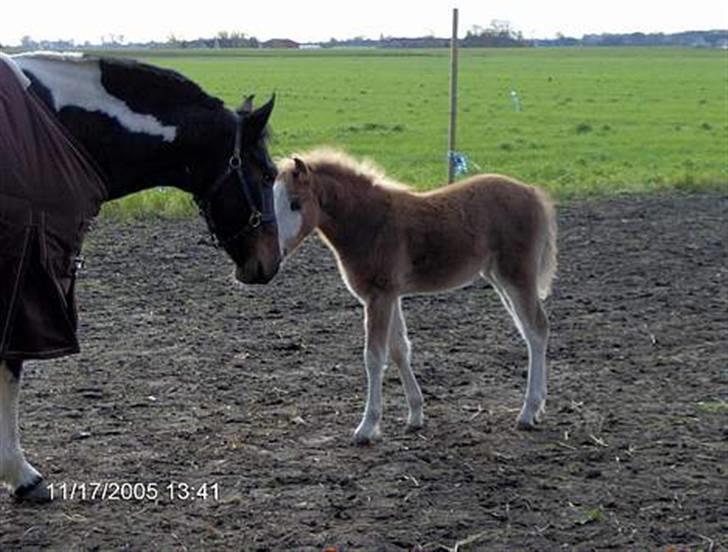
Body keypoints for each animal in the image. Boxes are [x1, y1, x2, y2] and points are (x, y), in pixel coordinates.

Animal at [0, 54, 278, 502]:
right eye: (267, 173)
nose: (271, 260)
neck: (57, 122)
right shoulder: (24, 278)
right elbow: (12, 366)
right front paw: (21, 474)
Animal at [272, 150, 556, 444]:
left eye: (295, 203)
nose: (275, 253)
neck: (371, 223)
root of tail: (532, 192)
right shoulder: (391, 295)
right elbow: (400, 350)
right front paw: (416, 415)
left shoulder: (378, 296)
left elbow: (374, 357)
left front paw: (367, 427)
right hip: (498, 277)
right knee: (530, 331)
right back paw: (537, 409)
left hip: (516, 276)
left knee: (537, 329)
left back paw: (528, 412)